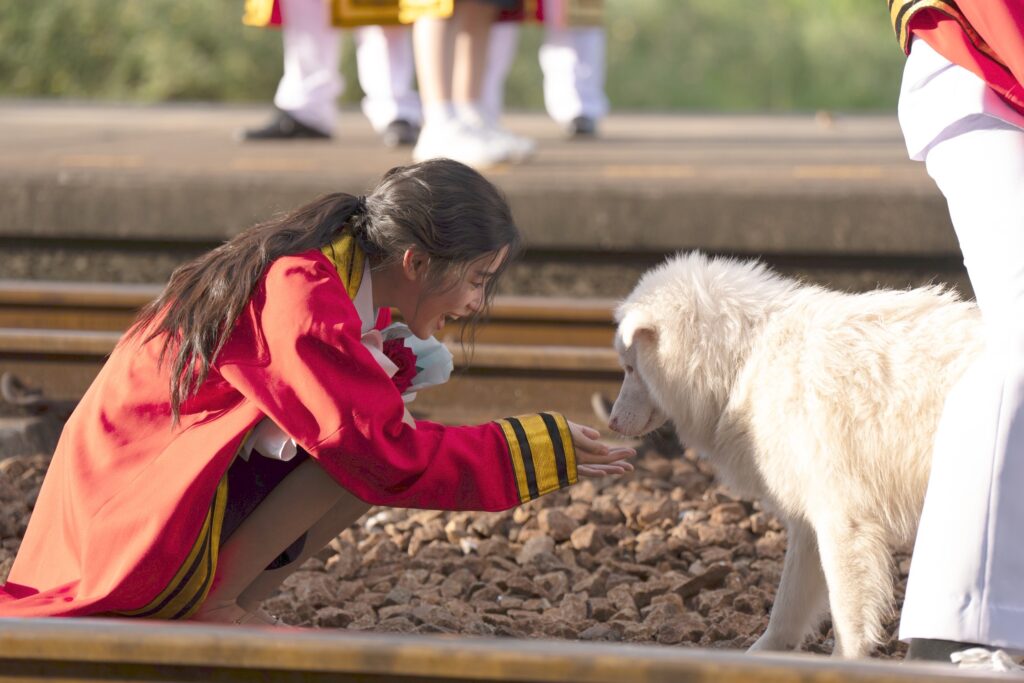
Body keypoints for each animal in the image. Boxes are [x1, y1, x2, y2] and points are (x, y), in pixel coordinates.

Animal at [608, 252, 982, 658]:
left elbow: (846, 617)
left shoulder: (842, 519)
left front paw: (844, 663)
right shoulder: (808, 520)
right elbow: (787, 608)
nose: (610, 421)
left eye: (630, 368)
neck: (743, 360)